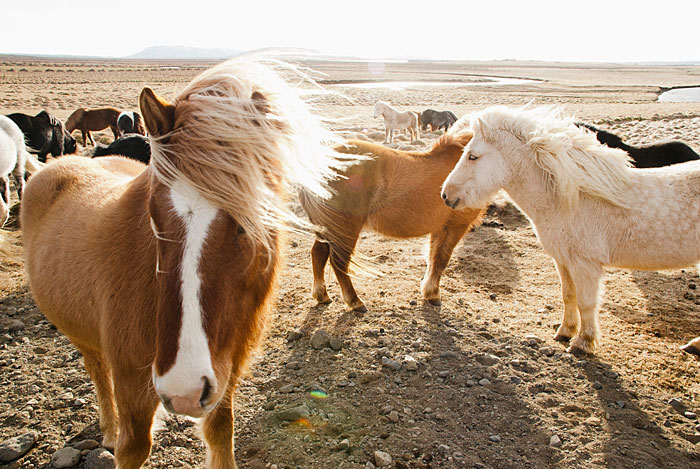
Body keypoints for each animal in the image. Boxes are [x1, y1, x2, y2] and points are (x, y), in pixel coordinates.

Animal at [23, 59, 346, 468]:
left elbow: (221, 431)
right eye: (153, 218)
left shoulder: (225, 368)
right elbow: (132, 447)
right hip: (85, 337)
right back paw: (108, 429)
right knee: (97, 371)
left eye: (249, 219)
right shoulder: (133, 383)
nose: (184, 390)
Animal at [442, 105, 700, 354]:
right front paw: (565, 332)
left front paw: (583, 343)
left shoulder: (585, 263)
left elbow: (586, 303)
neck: (570, 199)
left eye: (473, 156)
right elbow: (568, 296)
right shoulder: (563, 260)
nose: (445, 195)